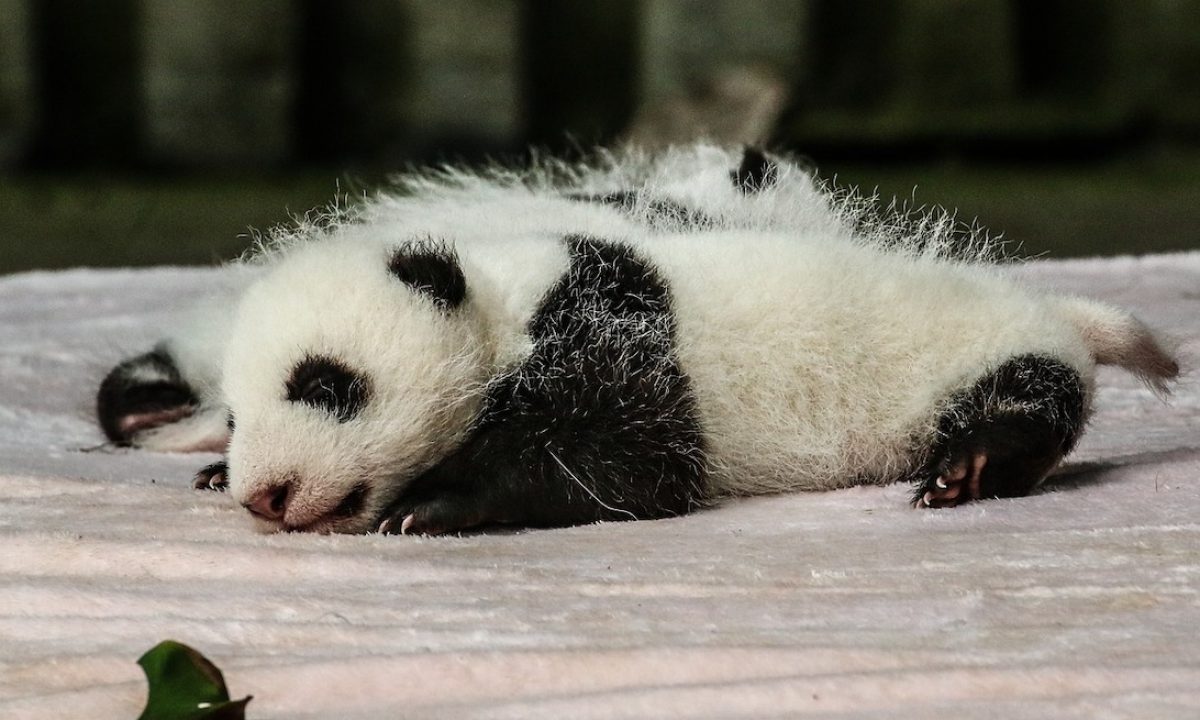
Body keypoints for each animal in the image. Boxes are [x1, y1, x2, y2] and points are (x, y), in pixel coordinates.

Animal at [97, 145, 1180, 535]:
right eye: (238, 413)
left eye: (326, 385)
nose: (267, 496)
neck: (504, 292)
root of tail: (1055, 310)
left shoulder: (614, 338)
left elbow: (625, 465)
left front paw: (432, 505)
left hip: (982, 350)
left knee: (1027, 397)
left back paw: (971, 466)